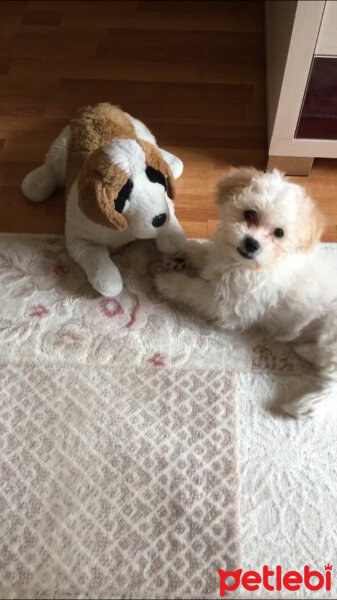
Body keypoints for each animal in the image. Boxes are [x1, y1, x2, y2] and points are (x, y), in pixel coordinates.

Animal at [156, 164, 336, 418]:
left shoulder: (227, 306)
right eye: (250, 214)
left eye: (279, 233)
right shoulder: (217, 259)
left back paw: (306, 405)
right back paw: (307, 351)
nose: (251, 243)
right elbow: (203, 253)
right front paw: (180, 254)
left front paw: (168, 282)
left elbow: (193, 288)